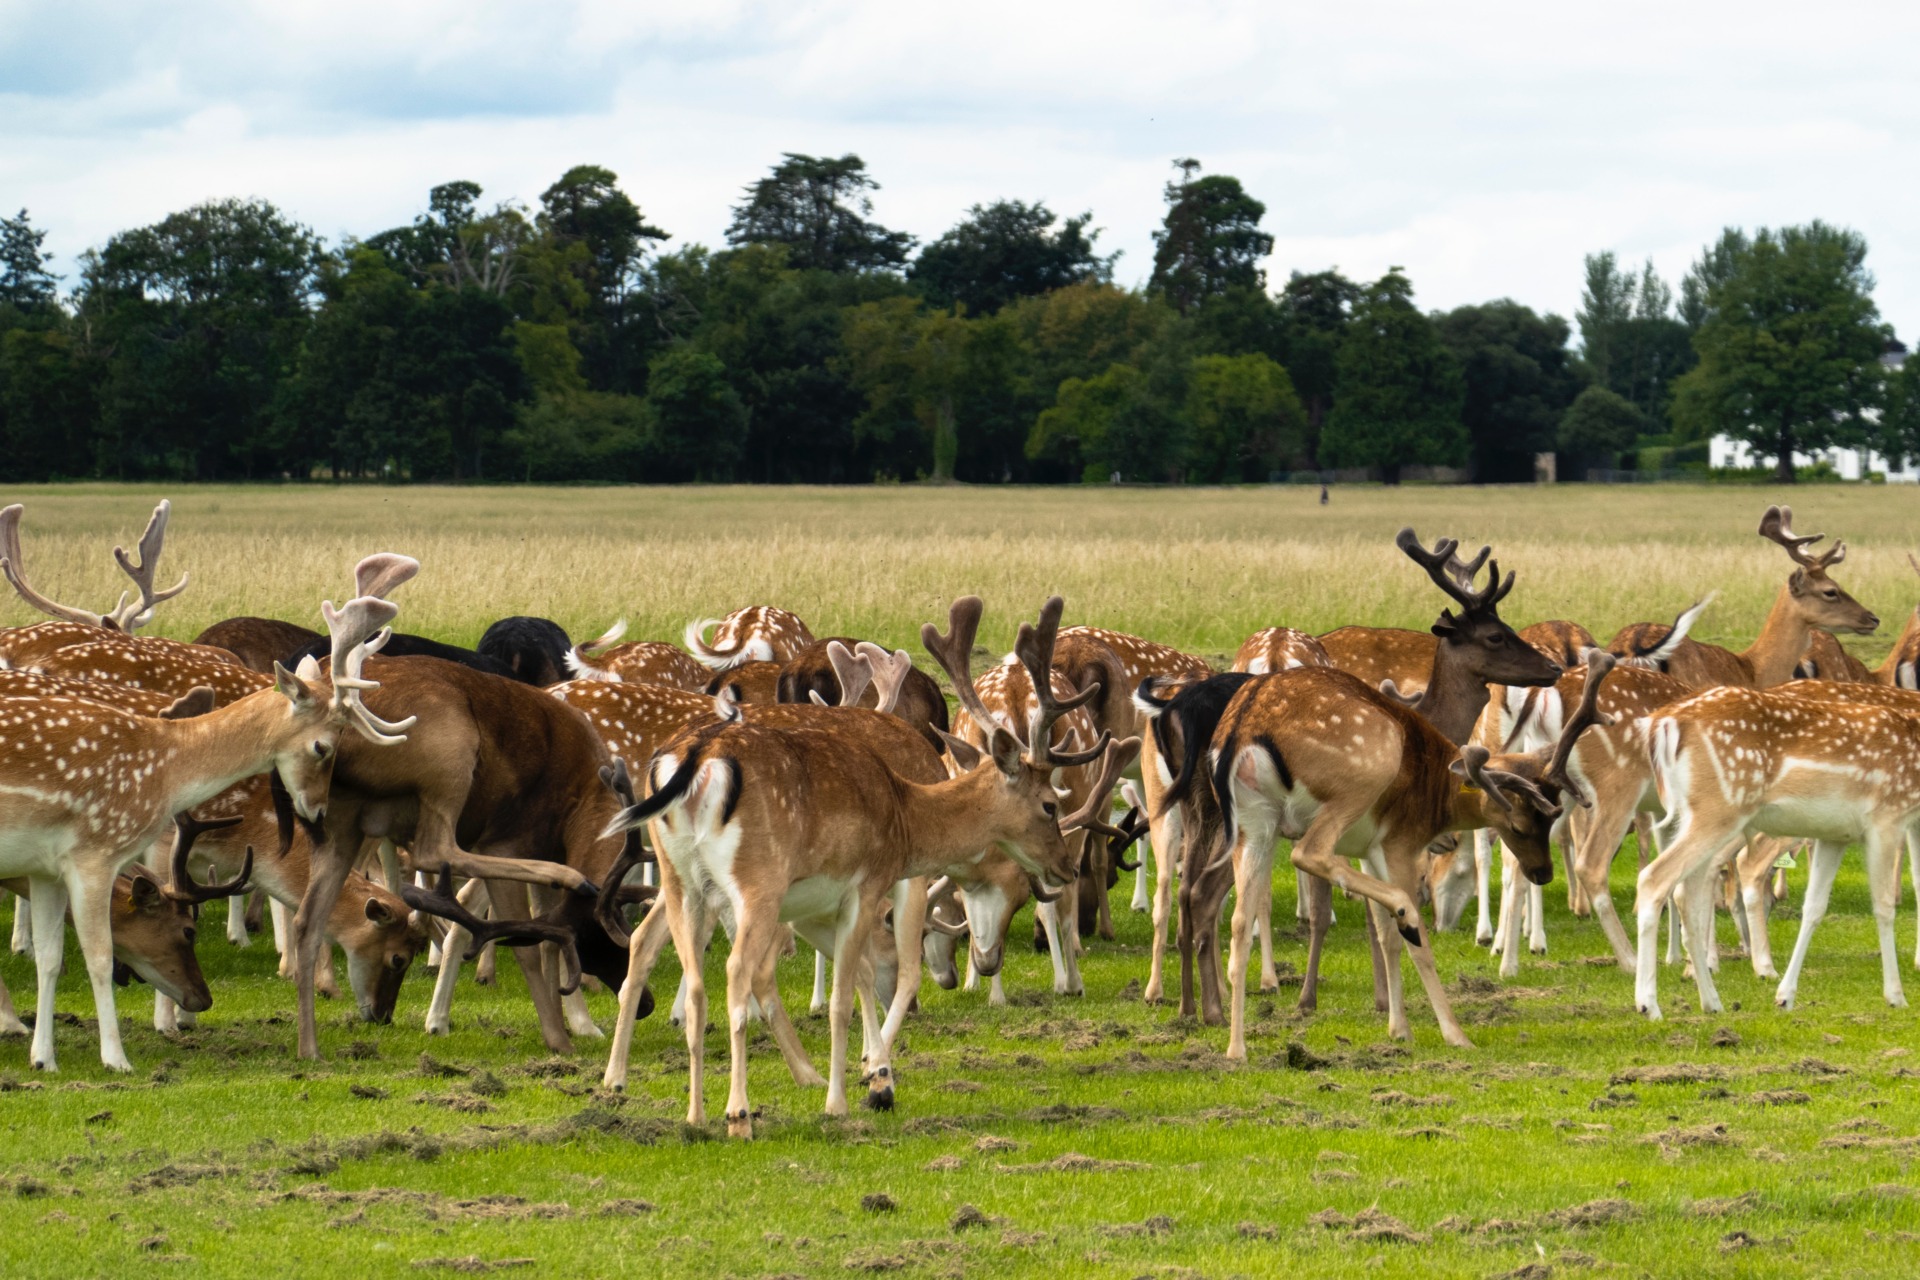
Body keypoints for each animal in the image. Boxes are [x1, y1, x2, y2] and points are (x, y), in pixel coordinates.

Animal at [606, 594, 1128, 1136]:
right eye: (1050, 804)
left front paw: (871, 1072)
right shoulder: (877, 882)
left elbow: (857, 974)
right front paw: (861, 1088)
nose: (1065, 868)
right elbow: (870, 983)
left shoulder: (821, 903)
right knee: (735, 971)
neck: (909, 813)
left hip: (683, 879)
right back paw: (739, 1114)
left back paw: (682, 1107)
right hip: (756, 881)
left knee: (676, 963)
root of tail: (695, 756)